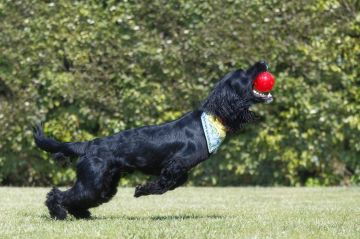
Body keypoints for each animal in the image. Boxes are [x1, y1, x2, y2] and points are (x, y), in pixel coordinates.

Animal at [33, 60, 272, 219]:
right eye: (244, 72)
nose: (263, 62)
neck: (211, 118)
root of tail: (89, 145)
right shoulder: (175, 164)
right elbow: (164, 184)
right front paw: (141, 190)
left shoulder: (177, 168)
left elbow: (173, 183)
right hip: (93, 181)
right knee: (57, 194)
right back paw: (59, 213)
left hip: (104, 185)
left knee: (76, 197)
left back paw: (81, 214)